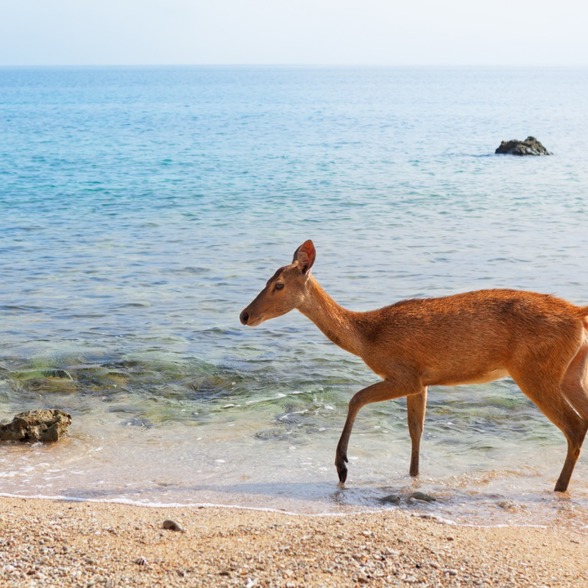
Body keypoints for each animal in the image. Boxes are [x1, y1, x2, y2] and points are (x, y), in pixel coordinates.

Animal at [239, 239, 588, 492]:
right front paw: (413, 477)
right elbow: (416, 430)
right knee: (582, 419)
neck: (367, 337)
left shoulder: (405, 374)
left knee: (573, 425)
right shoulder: (421, 382)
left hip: (535, 371)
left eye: (279, 284)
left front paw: (342, 467)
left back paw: (558, 488)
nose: (244, 314)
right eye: (267, 279)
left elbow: (356, 398)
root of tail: (577, 314)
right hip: (571, 372)